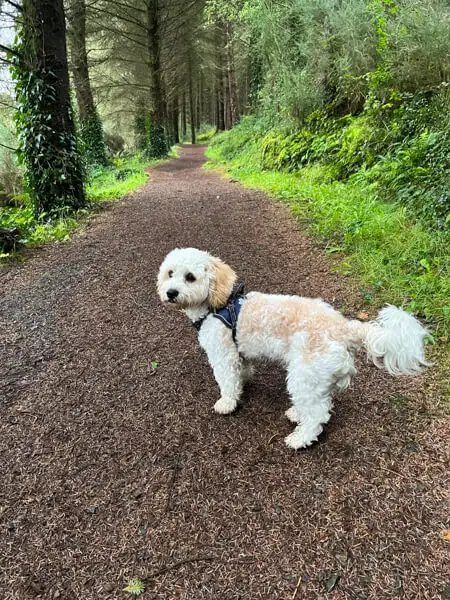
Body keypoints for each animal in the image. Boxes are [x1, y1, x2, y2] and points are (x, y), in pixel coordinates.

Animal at [157, 246, 428, 448]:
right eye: (170, 273)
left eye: (190, 277)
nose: (170, 292)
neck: (217, 305)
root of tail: (344, 327)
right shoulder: (238, 352)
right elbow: (243, 371)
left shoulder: (223, 355)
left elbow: (227, 383)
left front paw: (227, 403)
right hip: (317, 375)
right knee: (319, 400)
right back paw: (297, 413)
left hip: (305, 373)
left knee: (318, 414)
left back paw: (300, 439)